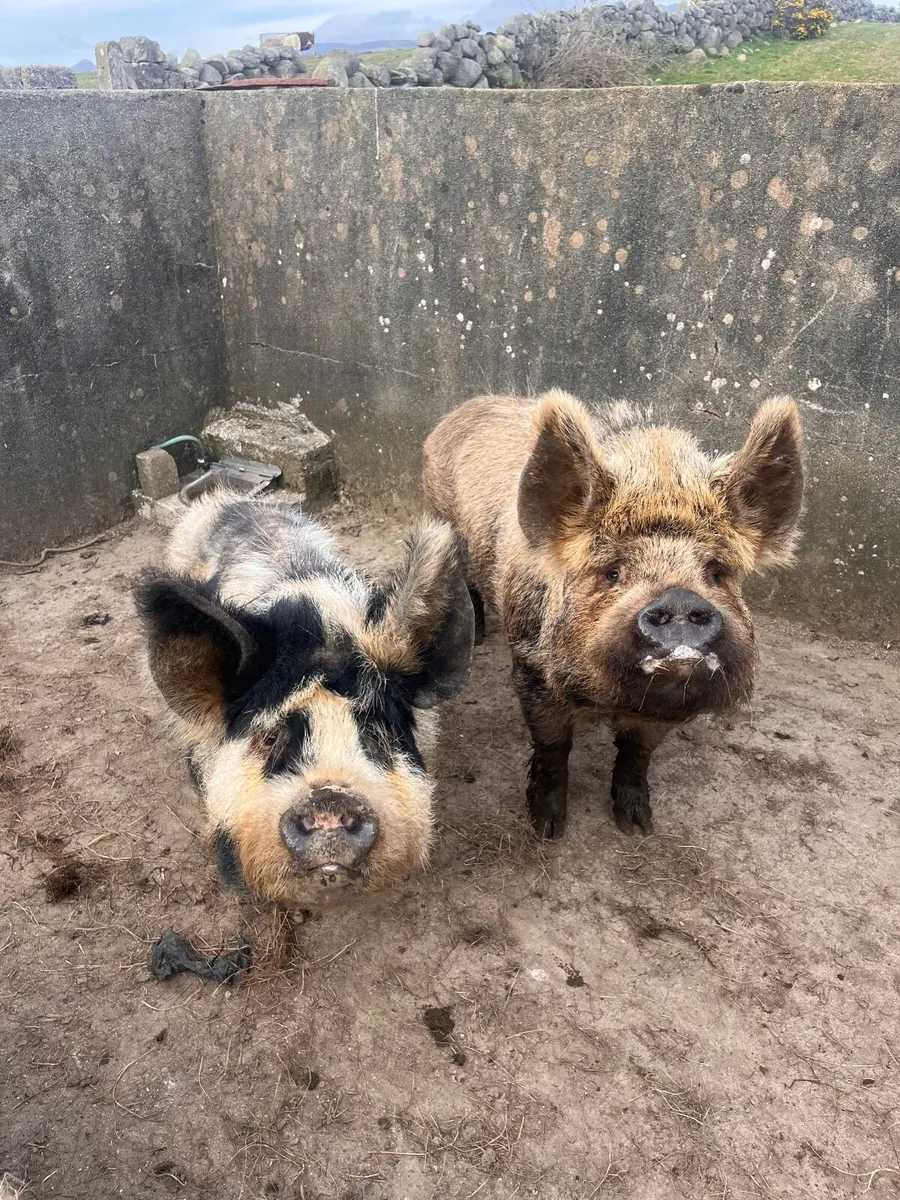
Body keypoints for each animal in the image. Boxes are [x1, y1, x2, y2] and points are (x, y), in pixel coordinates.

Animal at [422, 389, 804, 839]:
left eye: (717, 572)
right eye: (612, 572)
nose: (679, 598)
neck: (608, 699)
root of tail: (461, 409)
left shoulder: (664, 708)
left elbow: (637, 753)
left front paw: (637, 827)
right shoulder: (532, 669)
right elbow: (553, 746)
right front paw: (547, 829)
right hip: (441, 515)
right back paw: (479, 635)